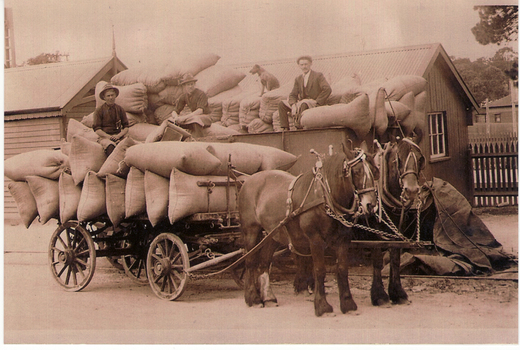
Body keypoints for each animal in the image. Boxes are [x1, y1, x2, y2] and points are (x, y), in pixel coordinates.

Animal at [239, 142, 378, 318]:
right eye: (358, 171)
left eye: (375, 170)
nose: (371, 205)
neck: (324, 196)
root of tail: (248, 180)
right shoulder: (315, 239)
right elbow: (319, 270)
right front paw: (322, 306)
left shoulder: (343, 239)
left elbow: (342, 269)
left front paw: (348, 304)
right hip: (251, 231)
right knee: (250, 262)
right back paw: (253, 298)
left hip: (273, 234)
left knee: (264, 262)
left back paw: (268, 297)